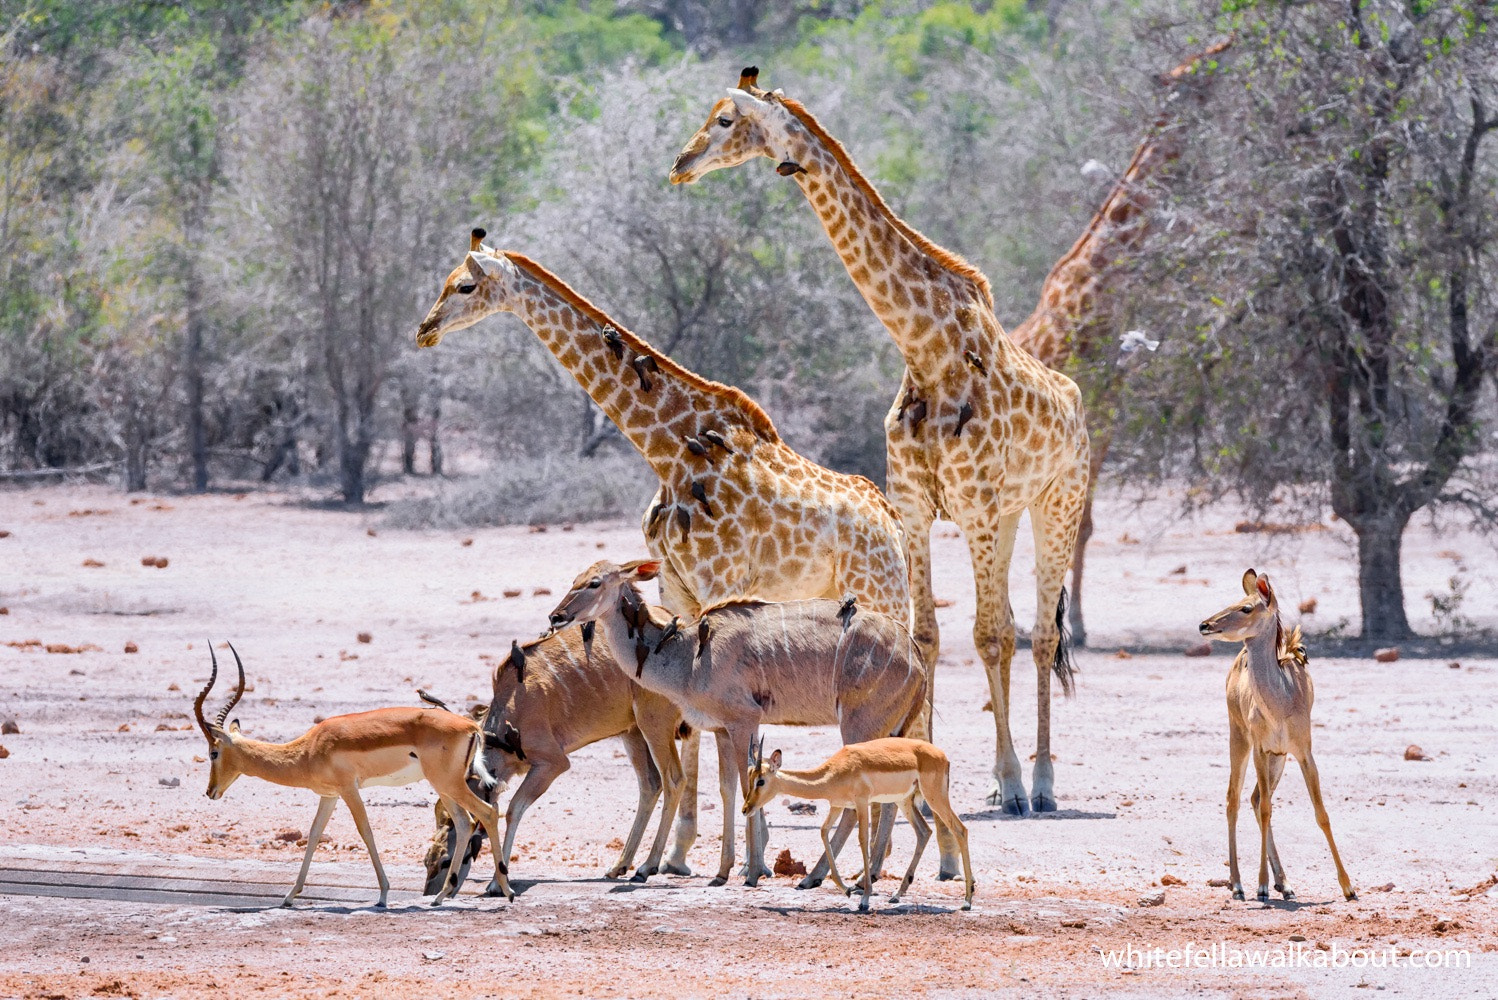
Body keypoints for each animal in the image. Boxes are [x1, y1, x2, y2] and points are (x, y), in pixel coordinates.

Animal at [416, 230, 934, 880]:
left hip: (881, 591)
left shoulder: (721, 581)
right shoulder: (676, 587)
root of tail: (890, 519)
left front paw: (748, 859)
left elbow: (722, 738)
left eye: (464, 285)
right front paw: (677, 856)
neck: (668, 447)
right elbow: (686, 722)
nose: (425, 329)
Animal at [671, 68, 1090, 814]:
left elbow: (988, 635)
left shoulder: (975, 505)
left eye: (723, 119)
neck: (926, 347)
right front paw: (930, 772)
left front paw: (1014, 783)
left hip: (1057, 502)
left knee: (1040, 633)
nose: (681, 163)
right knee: (1018, 623)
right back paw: (1003, 777)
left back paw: (1039, 782)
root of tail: (1076, 403)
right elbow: (927, 634)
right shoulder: (919, 505)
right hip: (1011, 513)